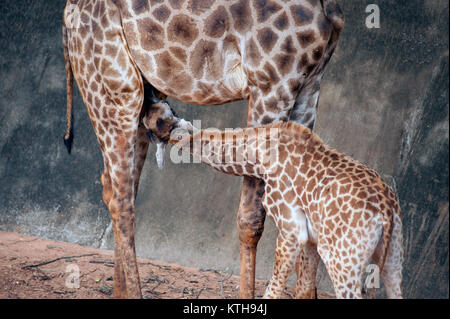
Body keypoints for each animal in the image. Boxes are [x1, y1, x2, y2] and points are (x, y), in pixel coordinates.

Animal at [61, 0, 344, 300]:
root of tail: (67, 13)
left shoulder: (310, 84)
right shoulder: (271, 84)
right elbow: (251, 219)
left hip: (134, 89)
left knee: (115, 187)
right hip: (116, 88)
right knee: (122, 202)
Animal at [144, 97, 404, 300]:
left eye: (153, 122)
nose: (147, 100)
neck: (260, 155)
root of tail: (387, 210)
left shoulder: (291, 229)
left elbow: (274, 288)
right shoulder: (312, 240)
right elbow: (304, 289)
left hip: (343, 259)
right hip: (393, 257)